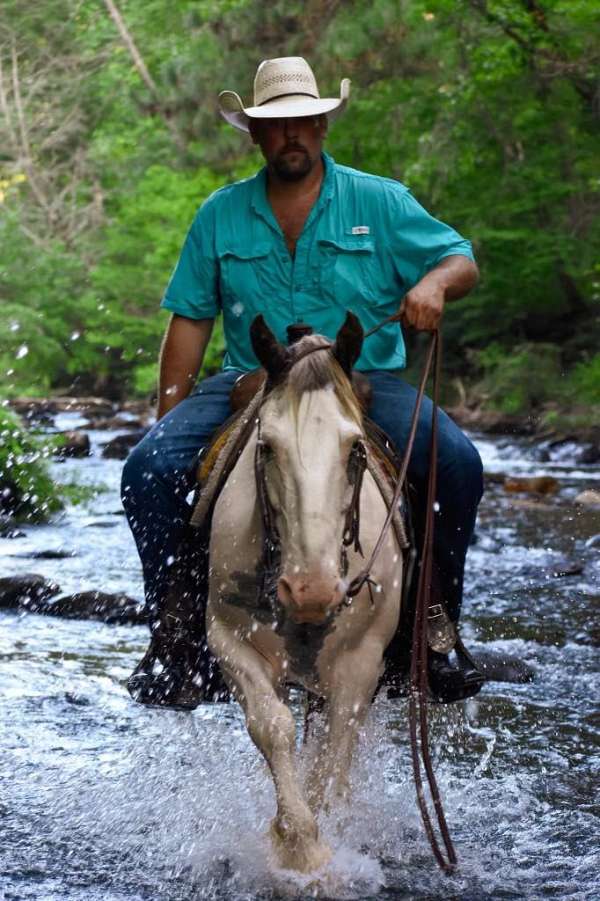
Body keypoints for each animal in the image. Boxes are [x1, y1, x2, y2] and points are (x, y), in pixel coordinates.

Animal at [206, 314, 404, 872]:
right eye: (266, 447)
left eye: (356, 448)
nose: (311, 590)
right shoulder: (227, 639)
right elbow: (273, 726)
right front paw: (300, 846)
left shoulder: (363, 660)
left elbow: (336, 751)